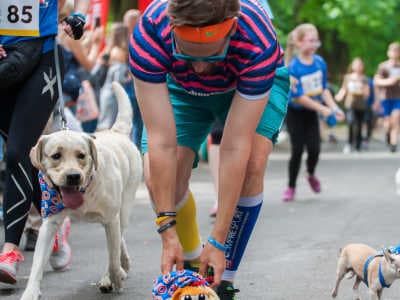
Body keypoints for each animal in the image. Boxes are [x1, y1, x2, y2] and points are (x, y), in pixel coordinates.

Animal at [20, 82, 142, 300]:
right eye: (56, 156)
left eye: (82, 155)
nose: (73, 176)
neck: (86, 190)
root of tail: (115, 131)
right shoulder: (49, 224)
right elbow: (37, 264)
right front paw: (31, 292)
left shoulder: (110, 219)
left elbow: (112, 259)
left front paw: (113, 279)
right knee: (120, 240)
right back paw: (124, 264)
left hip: (124, 206)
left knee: (118, 240)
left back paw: (112, 275)